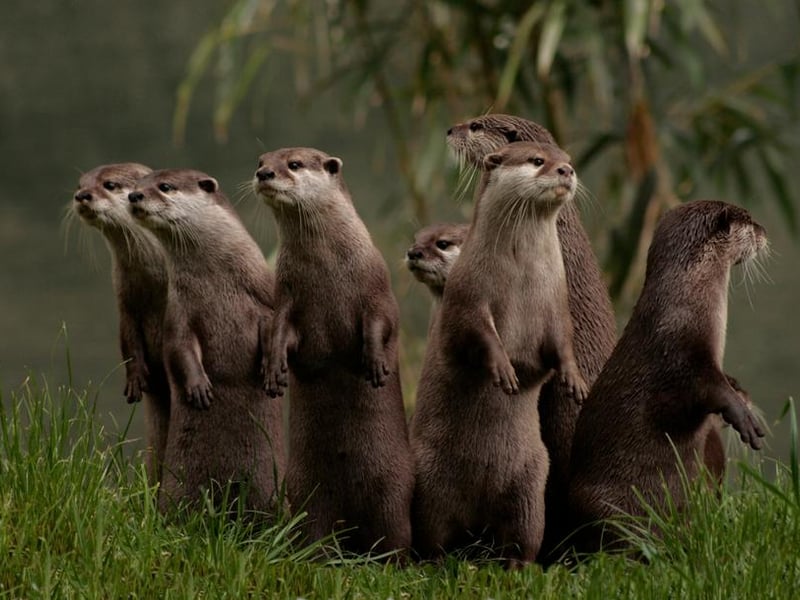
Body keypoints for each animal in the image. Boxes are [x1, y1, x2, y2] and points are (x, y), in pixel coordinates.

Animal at [71, 162, 170, 485]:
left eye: (110, 185)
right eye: (80, 184)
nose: (82, 196)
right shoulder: (125, 303)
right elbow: (128, 341)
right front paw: (135, 378)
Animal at [128, 169, 285, 515]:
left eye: (164, 186)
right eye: (136, 185)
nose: (133, 196)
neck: (216, 280)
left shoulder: (263, 298)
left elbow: (272, 328)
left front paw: (271, 372)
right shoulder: (179, 313)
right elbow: (179, 348)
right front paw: (198, 386)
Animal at [253, 147, 413, 557]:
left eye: (293, 164)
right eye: (260, 160)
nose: (264, 173)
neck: (326, 269)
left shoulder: (376, 286)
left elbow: (381, 324)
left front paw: (375, 364)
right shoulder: (287, 295)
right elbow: (279, 332)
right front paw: (273, 372)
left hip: (394, 489)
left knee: (394, 532)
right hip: (306, 490)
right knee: (314, 526)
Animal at [410, 141, 588, 568]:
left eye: (566, 159)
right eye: (538, 161)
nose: (566, 170)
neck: (521, 278)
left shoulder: (556, 305)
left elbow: (562, 345)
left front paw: (574, 380)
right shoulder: (469, 296)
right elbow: (478, 335)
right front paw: (504, 369)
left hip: (529, 486)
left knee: (523, 536)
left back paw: (519, 565)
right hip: (430, 482)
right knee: (433, 534)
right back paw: (438, 561)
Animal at [568, 200, 766, 554]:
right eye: (749, 221)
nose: (765, 232)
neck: (686, 304)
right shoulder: (680, 355)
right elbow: (706, 390)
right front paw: (743, 417)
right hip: (607, 508)